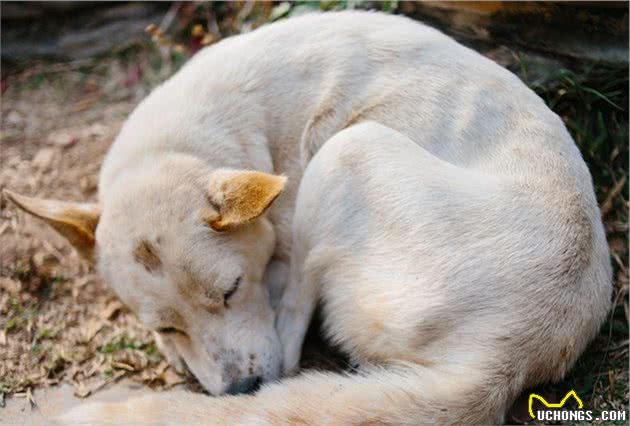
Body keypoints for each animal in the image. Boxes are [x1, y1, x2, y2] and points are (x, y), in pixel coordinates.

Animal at [6, 10, 612, 426]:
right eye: (166, 326)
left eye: (232, 290)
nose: (243, 389)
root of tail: (506, 354)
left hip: (347, 150)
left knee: (297, 321)